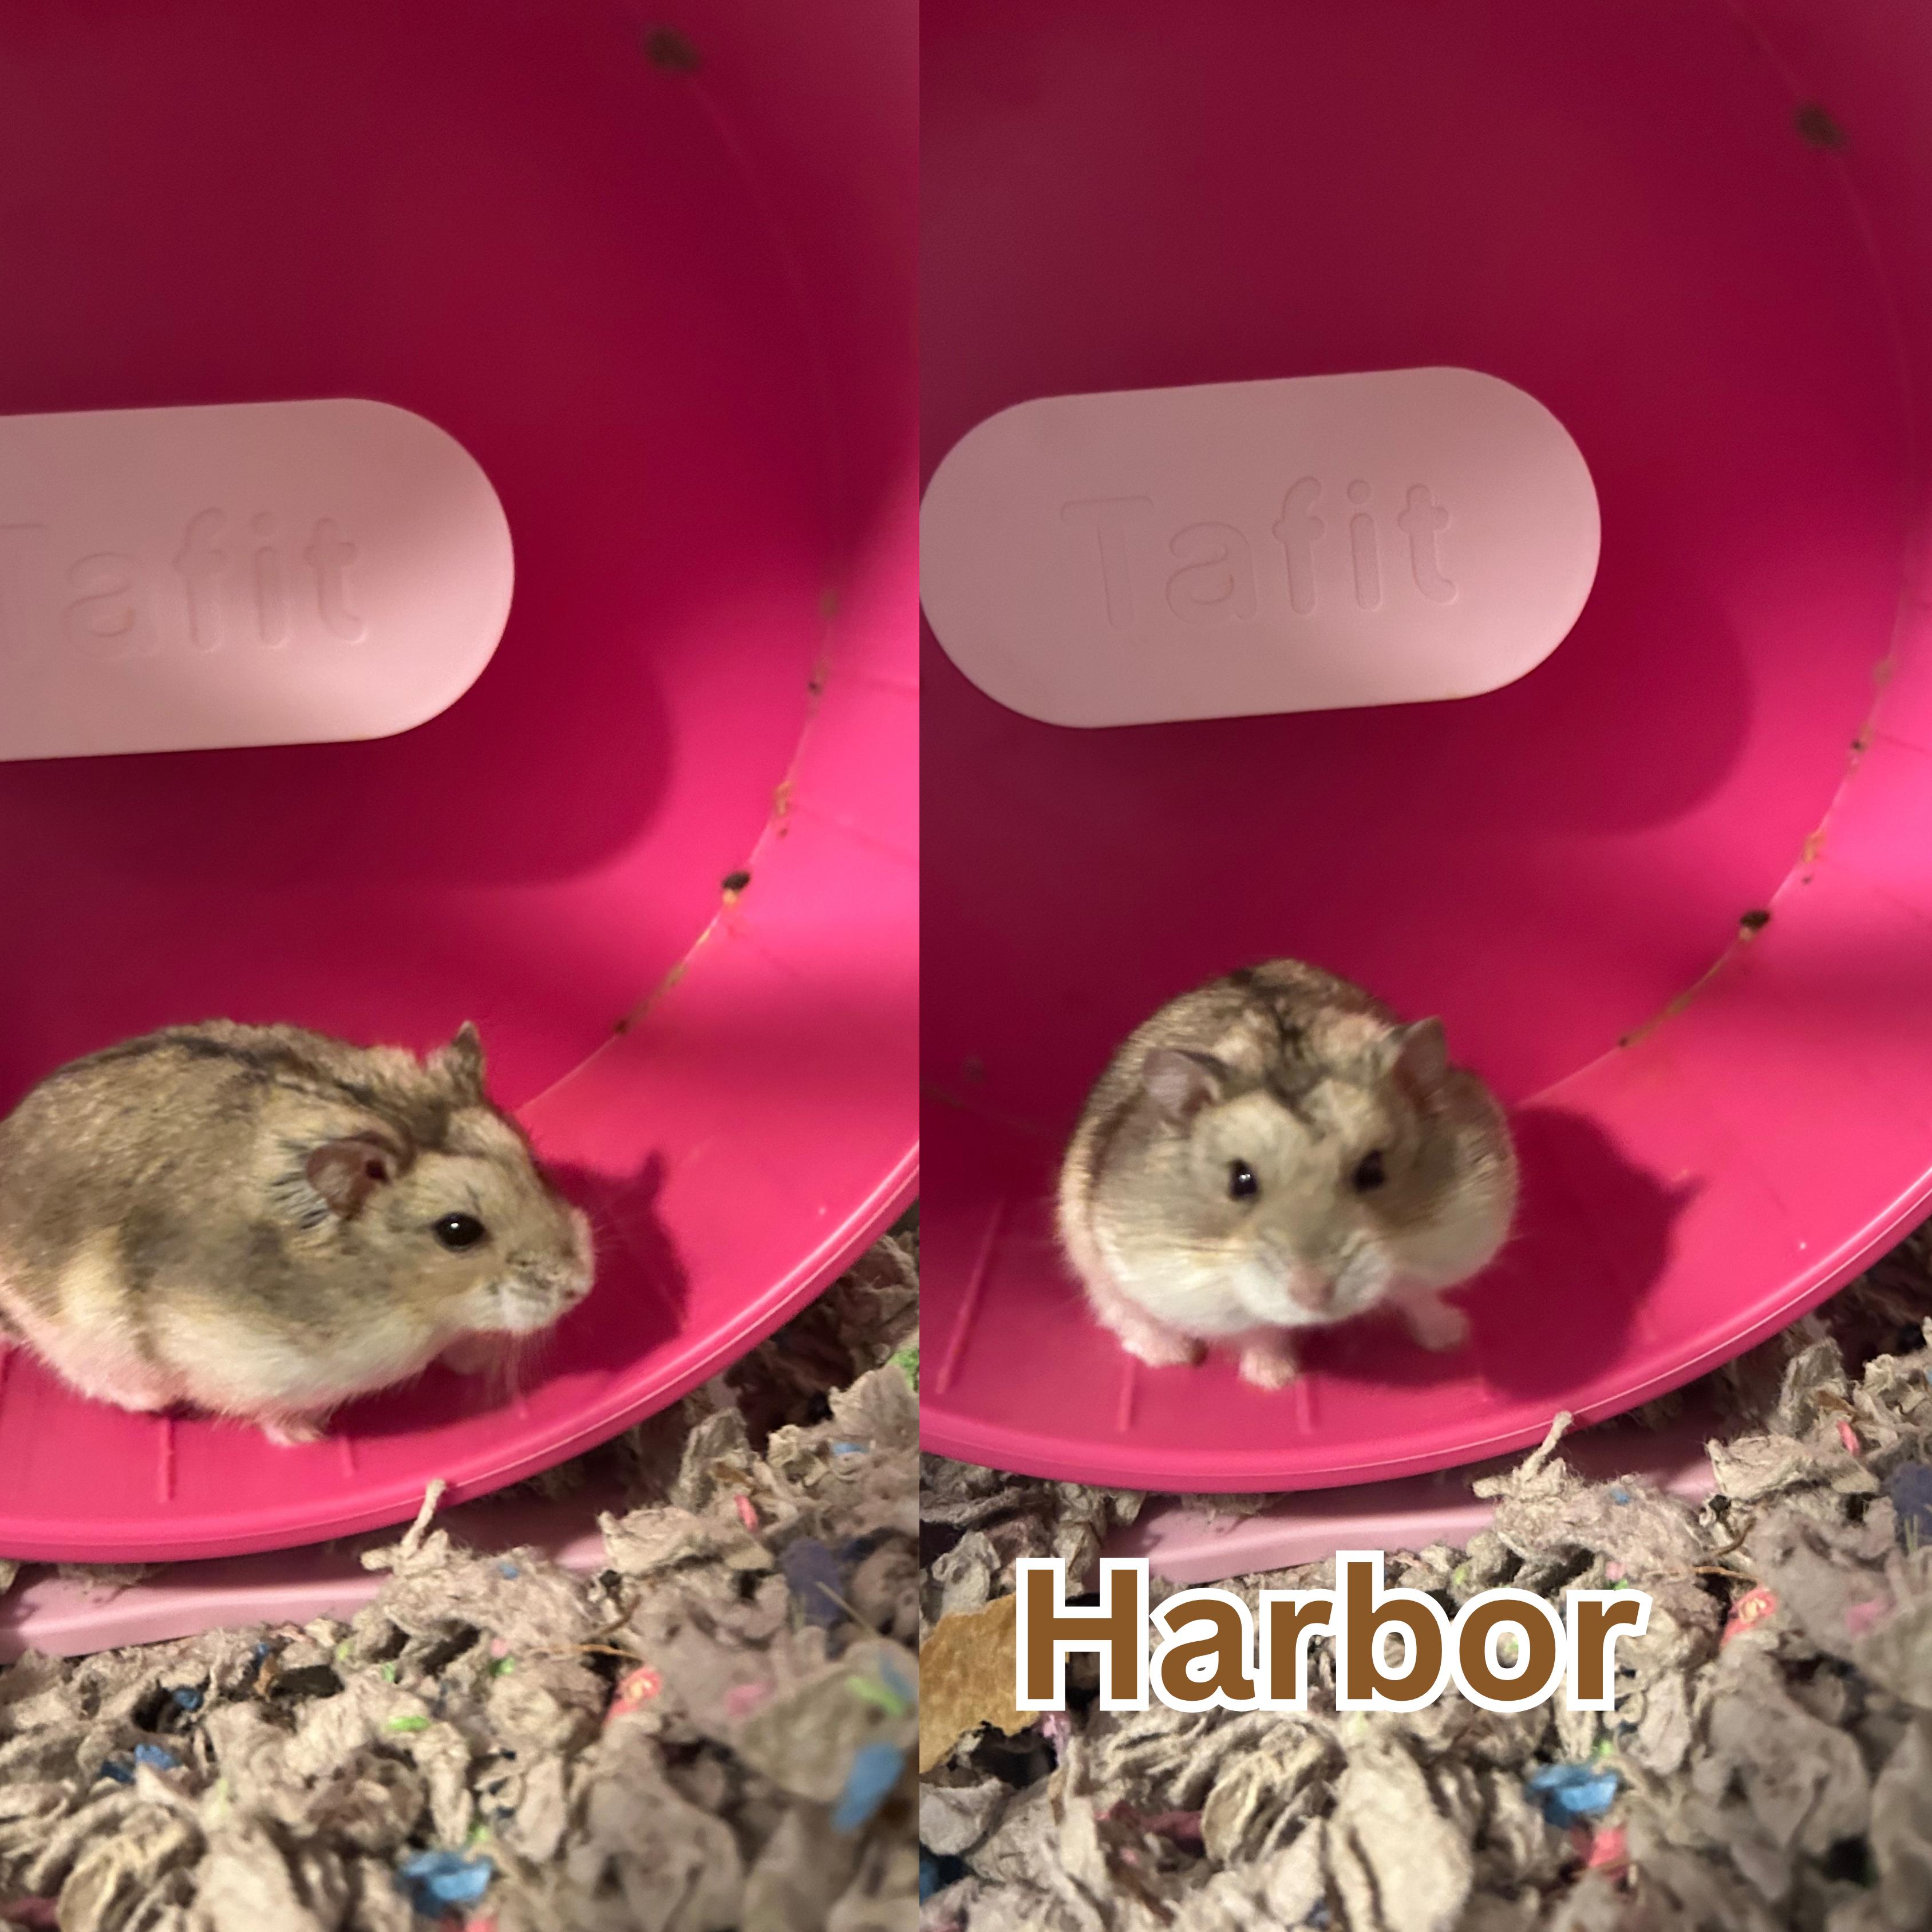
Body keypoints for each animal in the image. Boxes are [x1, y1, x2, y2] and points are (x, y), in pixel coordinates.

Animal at [0, 1019, 594, 1444]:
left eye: (534, 1162)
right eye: (457, 1231)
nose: (581, 1285)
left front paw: (476, 1359)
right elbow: (272, 1409)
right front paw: (308, 1435)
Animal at [1056, 960, 1517, 1390]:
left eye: (1373, 1171)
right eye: (1240, 1181)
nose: (1313, 1295)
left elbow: (1419, 1296)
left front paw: (1452, 1339)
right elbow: (1260, 1332)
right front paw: (1276, 1381)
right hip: (1089, 1257)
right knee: (1122, 1313)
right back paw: (1175, 1355)